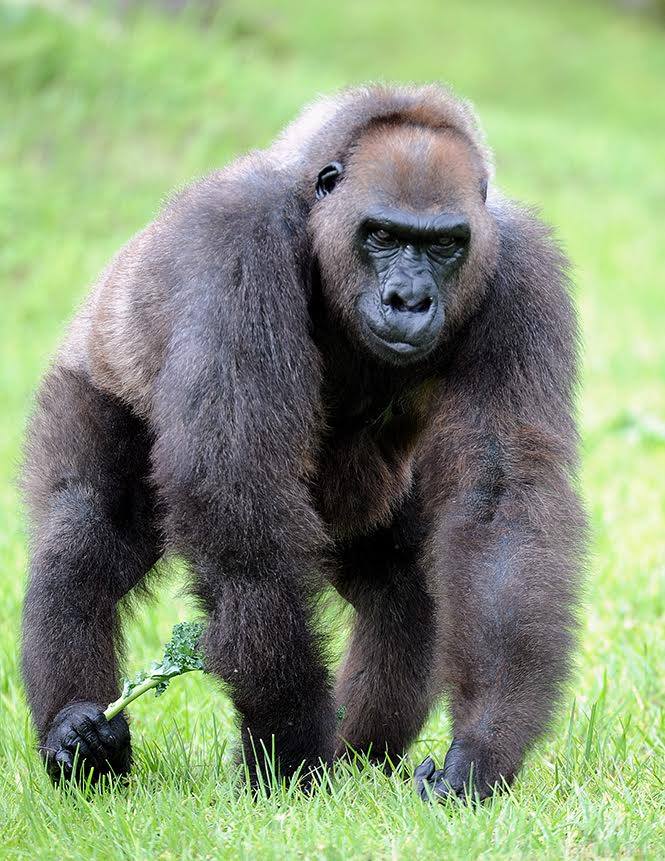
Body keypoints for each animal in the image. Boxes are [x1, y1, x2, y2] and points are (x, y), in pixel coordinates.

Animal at [21, 84, 587, 800]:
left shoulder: (520, 272)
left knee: (399, 592)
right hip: (92, 375)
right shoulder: (238, 244)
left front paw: (480, 750)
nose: (408, 300)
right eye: (382, 235)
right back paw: (77, 735)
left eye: (445, 245)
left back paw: (363, 756)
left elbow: (501, 495)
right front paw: (288, 749)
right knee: (88, 528)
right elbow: (234, 488)